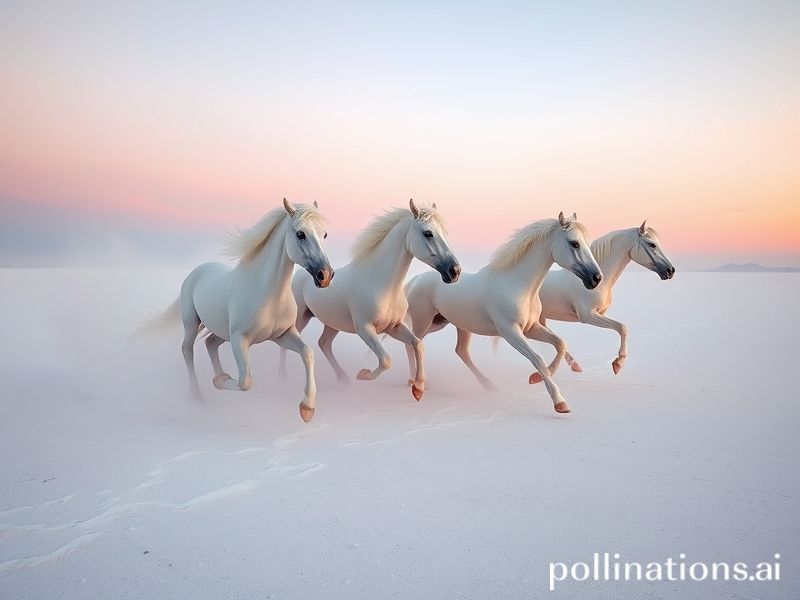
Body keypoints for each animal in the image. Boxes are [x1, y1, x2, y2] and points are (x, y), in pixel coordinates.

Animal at [144, 199, 333, 423]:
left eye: (324, 234)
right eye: (300, 234)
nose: (325, 275)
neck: (267, 293)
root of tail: (196, 272)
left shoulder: (282, 335)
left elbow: (307, 352)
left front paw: (307, 408)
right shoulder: (239, 339)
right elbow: (246, 382)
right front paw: (218, 383)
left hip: (221, 332)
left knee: (210, 343)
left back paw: (219, 375)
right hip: (192, 324)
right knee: (187, 350)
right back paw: (197, 396)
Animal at [280, 199, 460, 401]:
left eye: (444, 233)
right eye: (428, 233)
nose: (455, 271)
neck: (380, 283)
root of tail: (300, 274)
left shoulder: (394, 327)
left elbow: (417, 344)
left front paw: (418, 388)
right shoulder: (365, 329)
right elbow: (386, 360)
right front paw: (364, 374)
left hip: (332, 324)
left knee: (324, 344)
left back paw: (343, 378)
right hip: (300, 319)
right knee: (287, 345)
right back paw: (283, 376)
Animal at [404, 212, 601, 414]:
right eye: (574, 243)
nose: (596, 278)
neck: (516, 285)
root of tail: (416, 280)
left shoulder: (531, 328)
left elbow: (560, 344)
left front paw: (536, 378)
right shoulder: (511, 333)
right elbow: (538, 359)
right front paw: (559, 403)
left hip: (447, 323)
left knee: (458, 351)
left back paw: (488, 385)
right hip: (424, 322)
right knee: (414, 342)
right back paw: (415, 383)